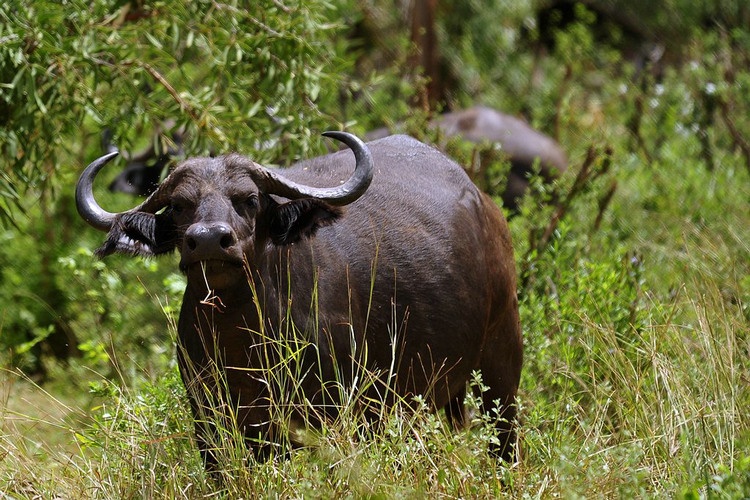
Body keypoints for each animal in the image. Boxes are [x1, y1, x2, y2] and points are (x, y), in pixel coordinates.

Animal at [76, 131, 524, 466]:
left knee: (505, 440)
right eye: (180, 205)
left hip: (501, 367)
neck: (241, 339)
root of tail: (484, 204)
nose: (208, 240)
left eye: (249, 199)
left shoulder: (341, 409)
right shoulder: (211, 420)